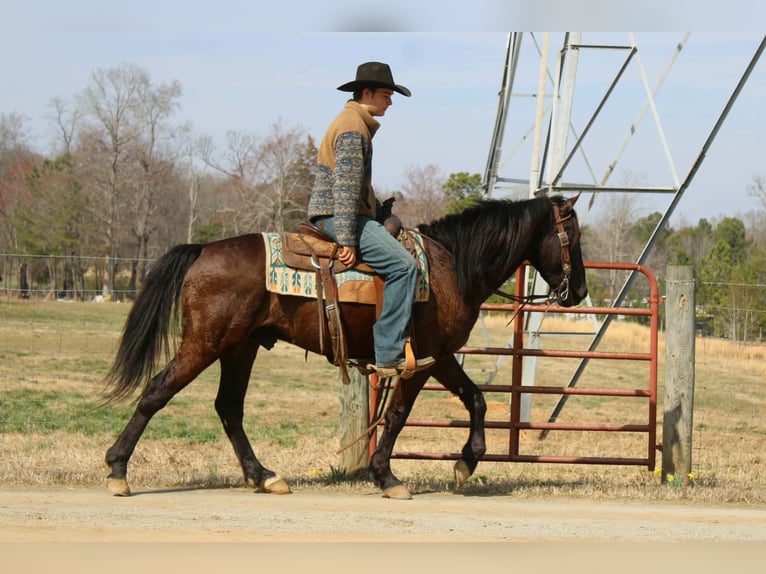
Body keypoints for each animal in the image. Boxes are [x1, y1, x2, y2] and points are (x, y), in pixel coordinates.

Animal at [102, 194, 587, 500]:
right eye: (575, 238)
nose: (580, 292)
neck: (452, 265)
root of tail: (203, 249)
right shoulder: (418, 362)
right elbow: (398, 415)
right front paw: (387, 477)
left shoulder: (440, 356)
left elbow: (477, 399)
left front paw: (467, 462)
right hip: (206, 343)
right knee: (156, 393)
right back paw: (118, 470)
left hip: (240, 348)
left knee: (229, 408)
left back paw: (264, 476)